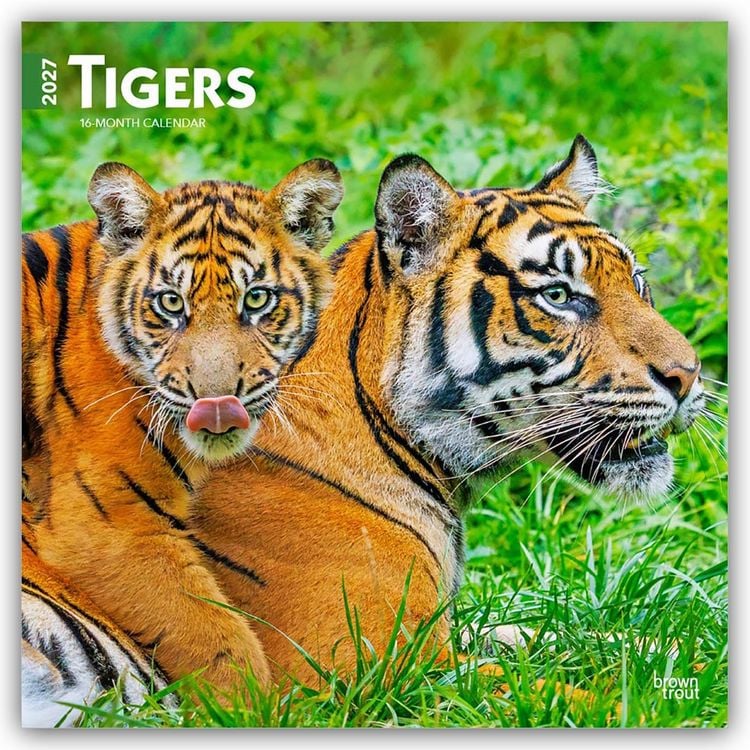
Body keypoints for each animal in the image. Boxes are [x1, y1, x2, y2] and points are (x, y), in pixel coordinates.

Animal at [21, 158, 343, 724]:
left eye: (257, 299)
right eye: (171, 303)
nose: (216, 402)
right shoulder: (108, 528)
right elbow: (217, 639)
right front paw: (250, 714)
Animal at [190, 135, 705, 683]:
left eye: (637, 281)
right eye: (558, 295)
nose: (689, 374)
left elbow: (561, 640)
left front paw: (684, 649)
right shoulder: (370, 669)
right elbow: (572, 683)